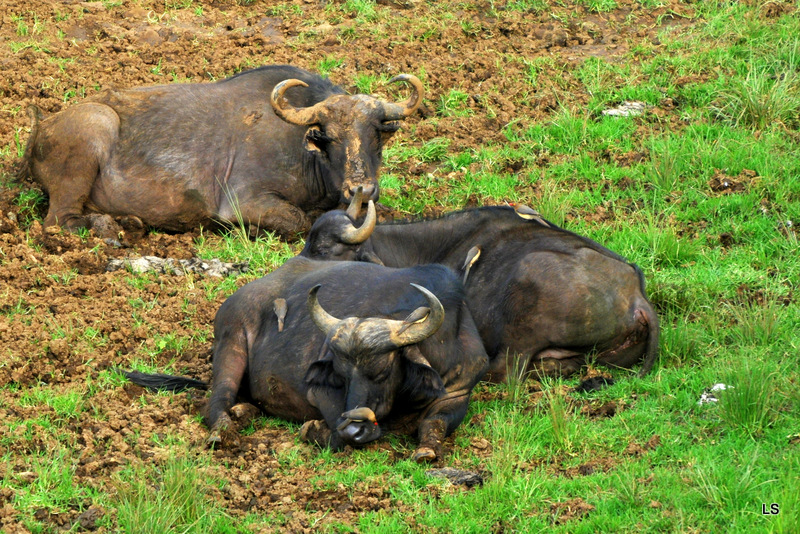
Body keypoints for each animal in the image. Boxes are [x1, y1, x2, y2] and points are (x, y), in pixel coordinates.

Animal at [15, 64, 422, 243]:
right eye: (330, 138)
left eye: (376, 135)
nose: (361, 190)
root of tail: (42, 126)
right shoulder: (246, 201)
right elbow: (298, 221)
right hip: (93, 129)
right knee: (59, 221)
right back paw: (112, 226)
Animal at [125, 258, 488, 462]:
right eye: (341, 374)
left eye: (383, 370)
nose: (354, 425)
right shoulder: (320, 392)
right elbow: (339, 436)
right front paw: (314, 429)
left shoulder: (459, 391)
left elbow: (434, 423)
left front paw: (427, 450)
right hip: (231, 342)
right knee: (216, 399)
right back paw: (224, 428)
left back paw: (244, 412)